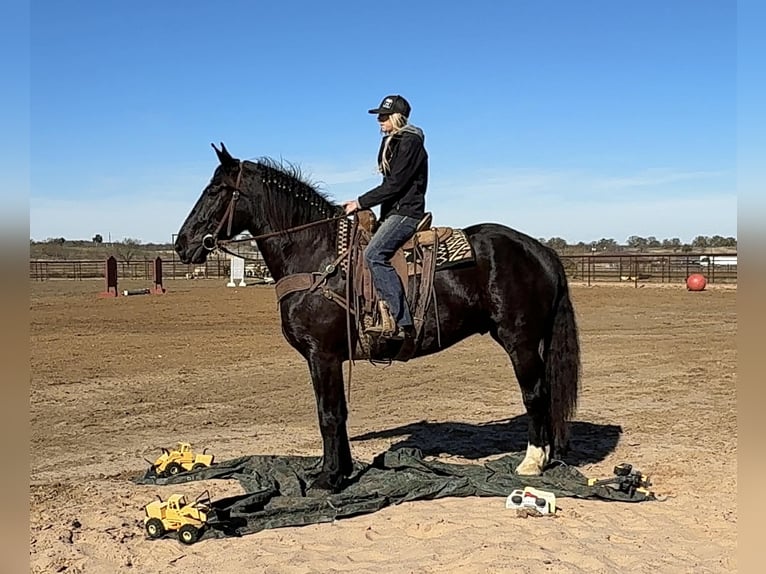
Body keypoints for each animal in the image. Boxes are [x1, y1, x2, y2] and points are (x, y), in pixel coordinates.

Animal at [175, 143, 581, 491]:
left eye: (214, 190)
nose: (181, 244)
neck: (317, 254)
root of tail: (540, 250)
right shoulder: (328, 358)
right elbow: (338, 413)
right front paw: (338, 470)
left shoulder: (322, 355)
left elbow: (328, 414)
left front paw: (329, 478)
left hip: (520, 341)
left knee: (535, 394)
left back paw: (532, 462)